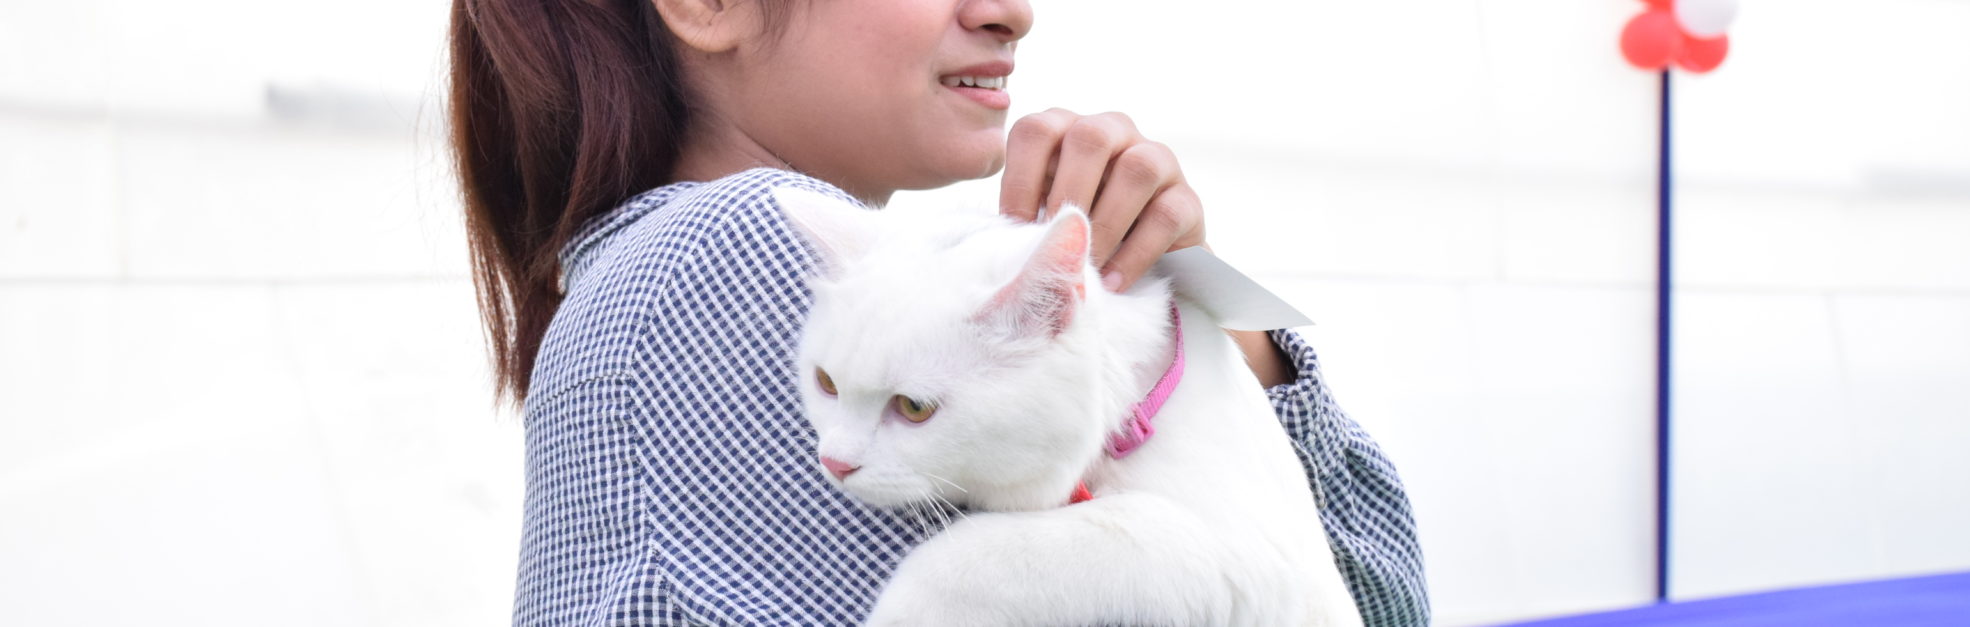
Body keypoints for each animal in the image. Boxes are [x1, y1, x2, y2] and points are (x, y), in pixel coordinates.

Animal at [775, 186, 1363, 627]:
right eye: (825, 383)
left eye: (914, 408)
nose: (834, 463)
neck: (1136, 401)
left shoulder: (1246, 561)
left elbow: (974, 557)